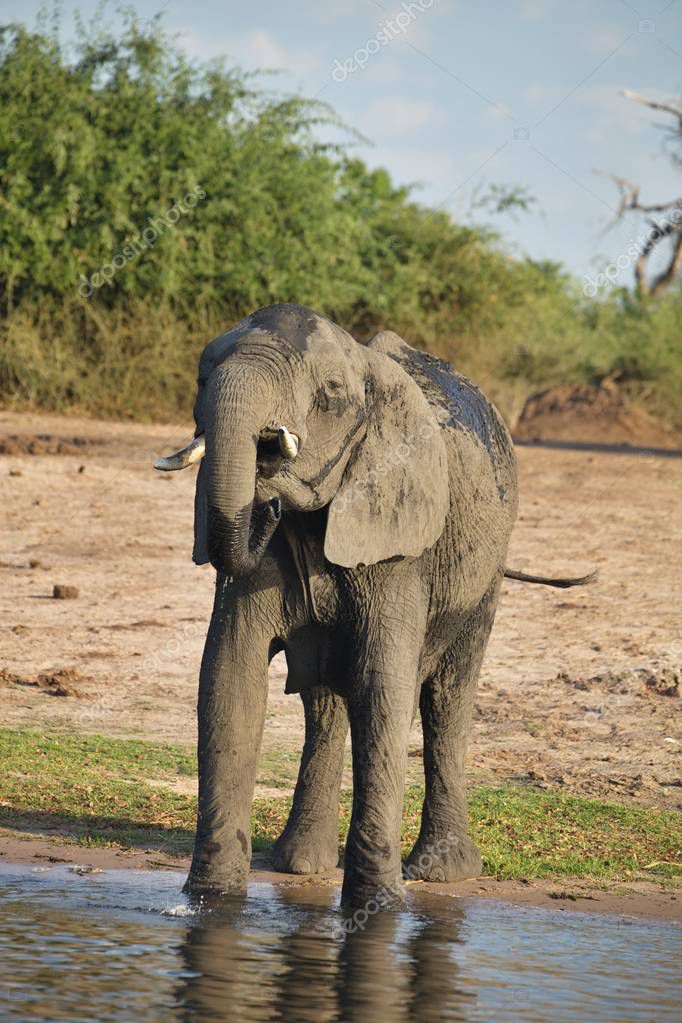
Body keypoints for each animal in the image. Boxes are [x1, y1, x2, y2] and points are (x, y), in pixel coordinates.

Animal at [156, 300, 593, 904]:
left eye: (331, 393)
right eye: (201, 378)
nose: (267, 480)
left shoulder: (400, 541)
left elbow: (381, 683)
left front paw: (376, 910)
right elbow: (230, 677)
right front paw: (210, 902)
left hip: (486, 569)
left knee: (446, 697)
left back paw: (441, 872)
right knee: (324, 702)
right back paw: (299, 864)